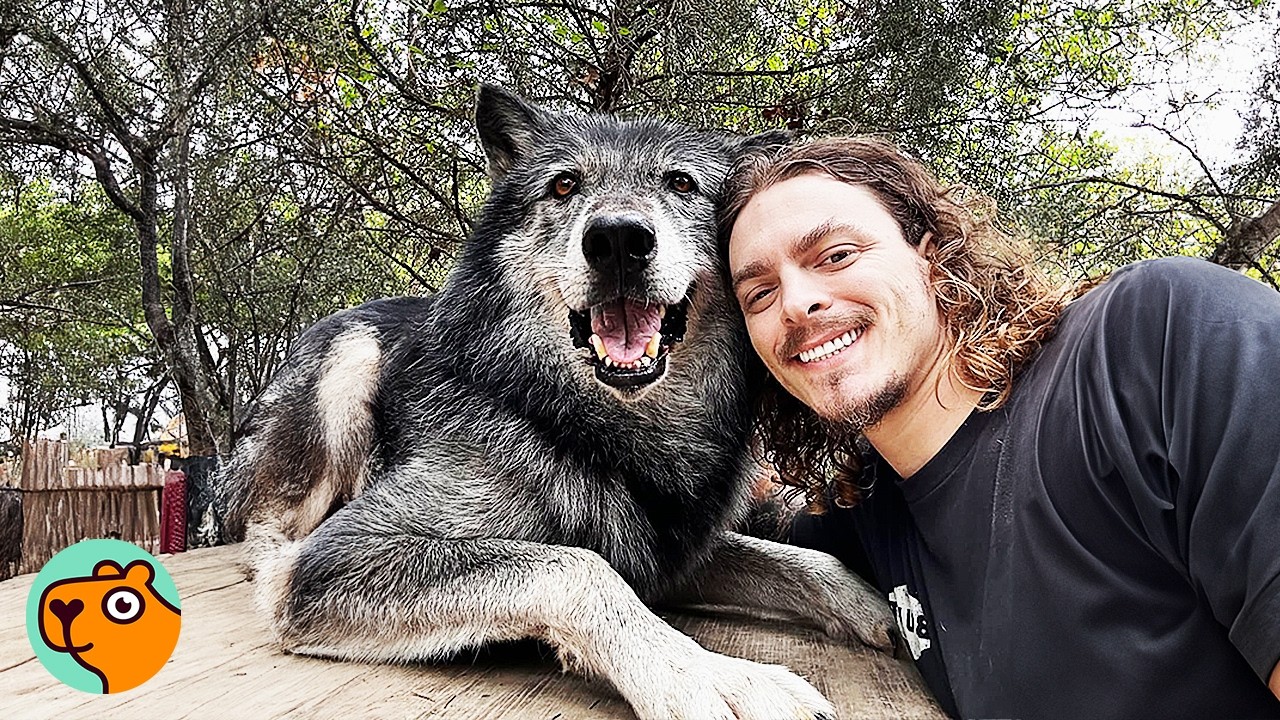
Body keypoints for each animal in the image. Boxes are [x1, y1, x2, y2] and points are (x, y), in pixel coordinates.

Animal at [216, 85, 895, 720]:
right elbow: (579, 570)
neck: (596, 433)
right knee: (270, 534)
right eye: (565, 184)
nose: (618, 240)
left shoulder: (666, 551)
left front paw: (872, 607)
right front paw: (715, 678)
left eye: (681, 182)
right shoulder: (341, 557)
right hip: (350, 356)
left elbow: (801, 560)